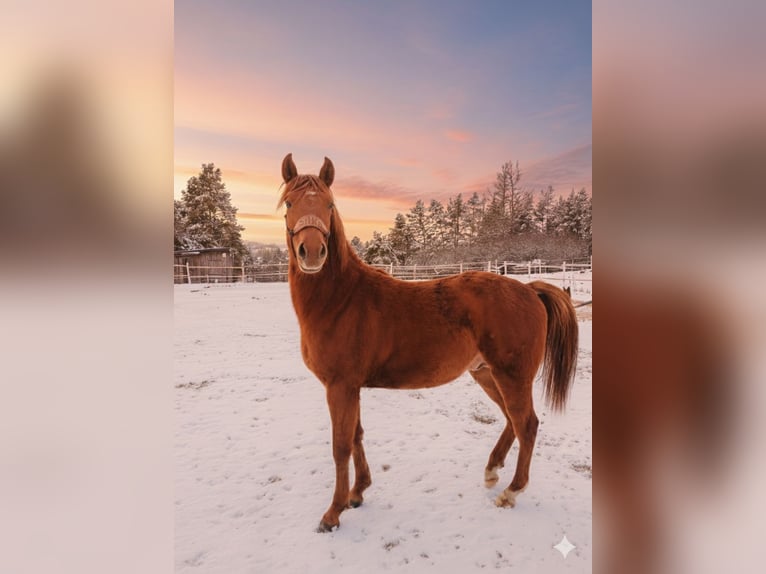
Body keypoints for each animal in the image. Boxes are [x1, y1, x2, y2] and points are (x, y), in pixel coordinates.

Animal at [279, 154, 579, 533]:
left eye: (330, 205)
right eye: (290, 203)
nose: (313, 253)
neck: (341, 299)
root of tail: (529, 290)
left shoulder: (340, 386)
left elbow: (341, 445)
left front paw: (333, 513)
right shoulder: (351, 387)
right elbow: (357, 436)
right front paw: (358, 493)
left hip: (512, 376)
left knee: (527, 425)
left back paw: (511, 491)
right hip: (487, 374)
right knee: (512, 420)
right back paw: (492, 470)